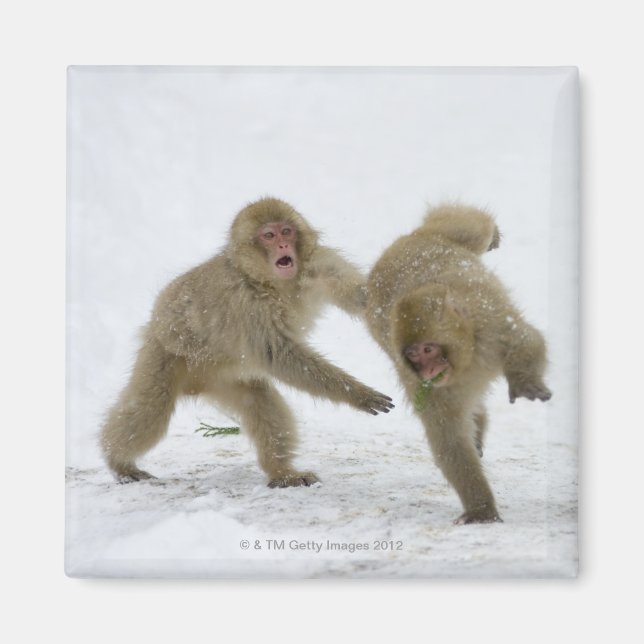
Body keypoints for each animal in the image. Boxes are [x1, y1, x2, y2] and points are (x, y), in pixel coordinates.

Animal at [101, 197, 394, 487]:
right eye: (269, 235)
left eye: (286, 231)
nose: (283, 245)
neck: (273, 283)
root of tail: (195, 386)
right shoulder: (246, 304)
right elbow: (280, 355)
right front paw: (357, 393)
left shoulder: (318, 263)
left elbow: (360, 297)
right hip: (165, 353)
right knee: (151, 408)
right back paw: (118, 461)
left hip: (225, 377)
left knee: (259, 399)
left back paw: (282, 472)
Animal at [365, 203, 551, 524]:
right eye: (414, 355)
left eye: (429, 349)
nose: (428, 369)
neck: (468, 356)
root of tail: (394, 248)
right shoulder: (423, 384)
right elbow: (449, 438)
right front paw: (481, 510)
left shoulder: (490, 324)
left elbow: (527, 340)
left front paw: (526, 381)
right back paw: (479, 422)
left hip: (447, 235)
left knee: (474, 226)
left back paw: (492, 233)